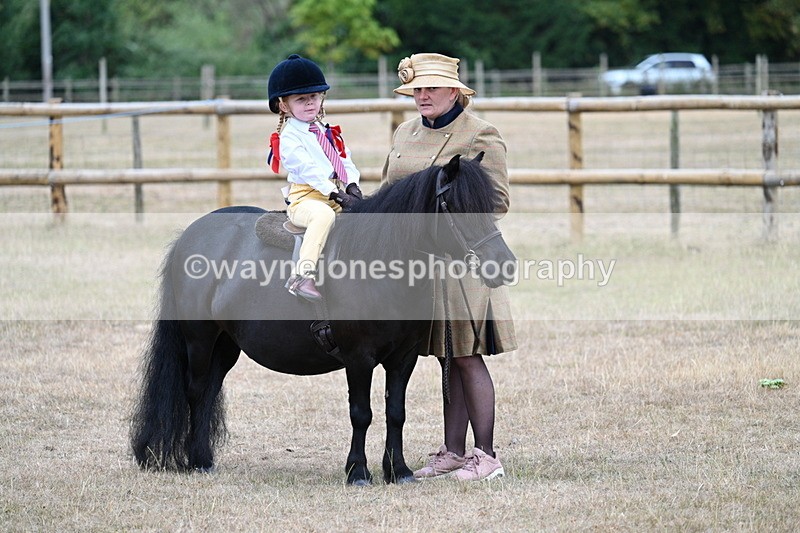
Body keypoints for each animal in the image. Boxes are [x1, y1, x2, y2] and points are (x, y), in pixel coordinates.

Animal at [129, 154, 517, 485]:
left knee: (210, 390)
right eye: (459, 207)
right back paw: (197, 462)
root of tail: (191, 234)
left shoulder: (403, 358)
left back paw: (205, 458)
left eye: (492, 206)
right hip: (199, 340)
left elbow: (396, 411)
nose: (505, 264)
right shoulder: (358, 358)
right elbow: (361, 413)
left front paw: (399, 471)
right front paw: (358, 472)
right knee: (195, 391)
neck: (379, 261)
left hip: (225, 347)